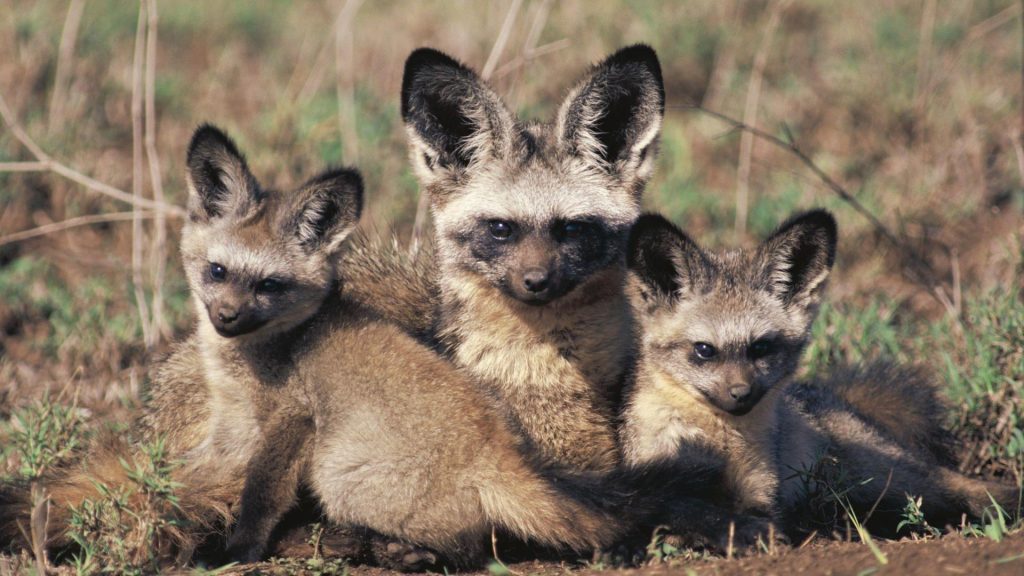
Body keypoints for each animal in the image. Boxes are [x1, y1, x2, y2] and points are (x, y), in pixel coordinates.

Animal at [618, 210, 1019, 532]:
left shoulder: (761, 493)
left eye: (761, 347)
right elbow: (684, 513)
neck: (722, 441)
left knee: (951, 487)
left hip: (881, 476)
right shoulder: (661, 478)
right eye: (704, 350)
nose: (741, 395)